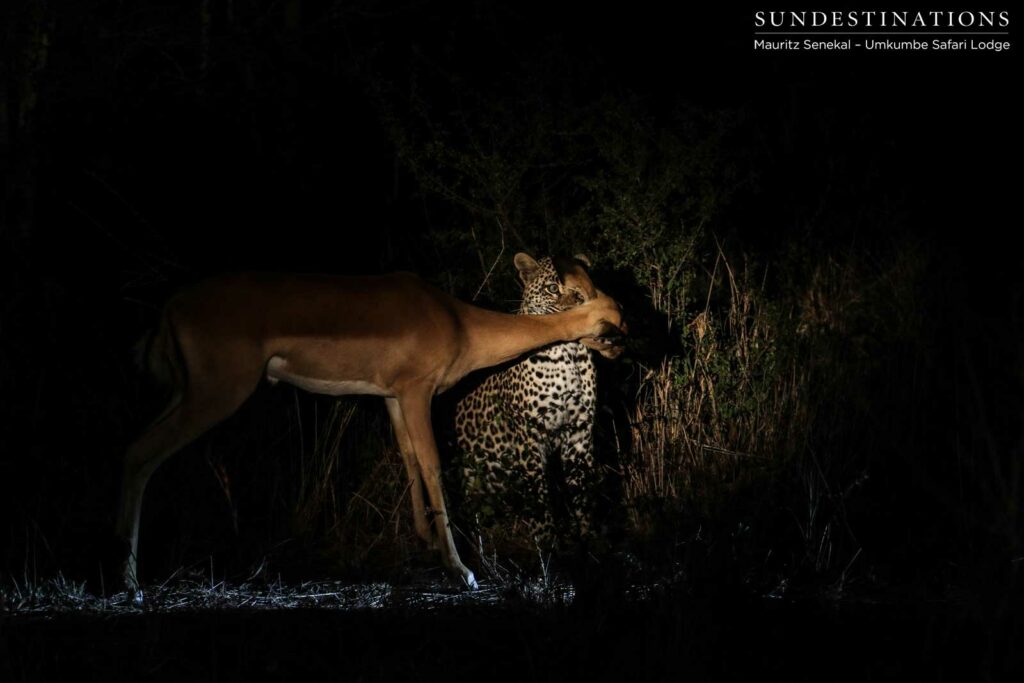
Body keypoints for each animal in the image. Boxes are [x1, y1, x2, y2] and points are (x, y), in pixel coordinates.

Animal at [118, 265, 625, 601]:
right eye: (602, 310)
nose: (621, 341)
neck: (458, 322)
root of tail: (170, 308)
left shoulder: (393, 397)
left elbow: (409, 458)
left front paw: (426, 544)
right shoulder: (418, 391)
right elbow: (434, 465)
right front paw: (462, 570)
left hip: (187, 392)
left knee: (132, 451)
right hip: (218, 392)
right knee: (138, 455)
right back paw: (131, 584)